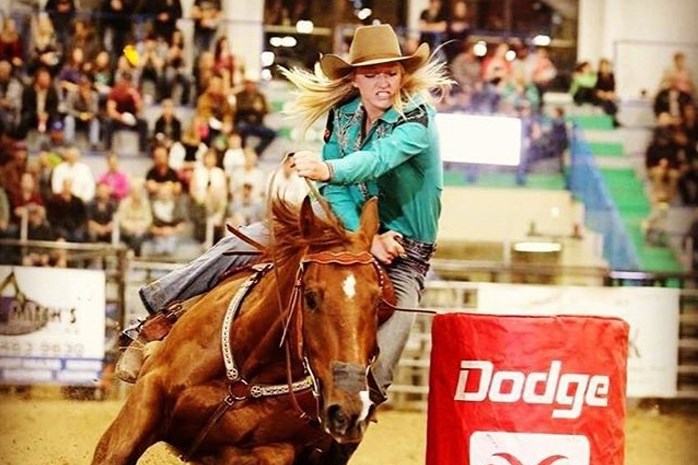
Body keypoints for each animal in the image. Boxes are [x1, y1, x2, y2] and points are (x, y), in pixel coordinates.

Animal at [90, 197, 388, 464]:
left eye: (377, 301)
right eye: (311, 297)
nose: (348, 408)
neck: (247, 374)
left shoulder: (269, 452)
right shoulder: (145, 400)